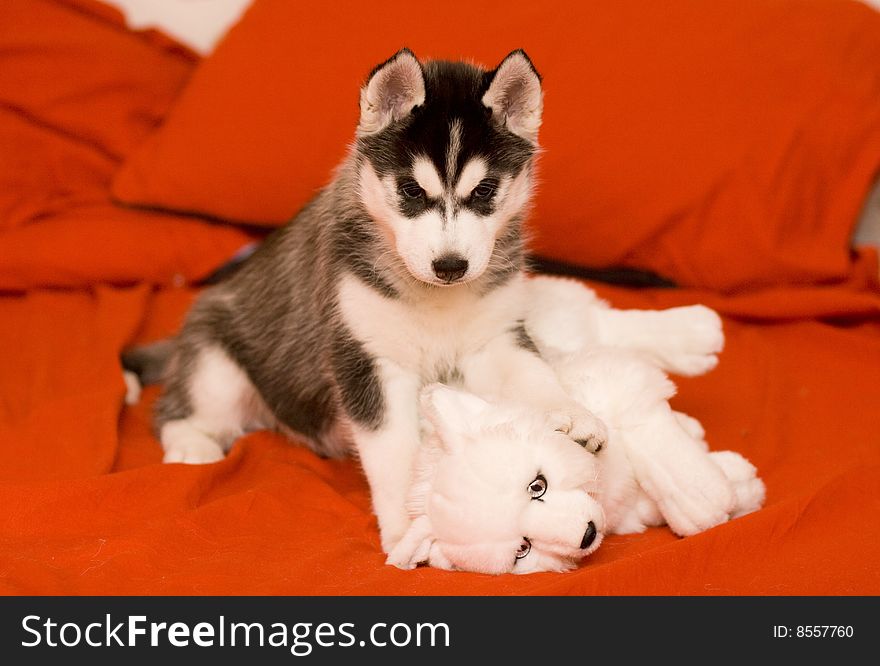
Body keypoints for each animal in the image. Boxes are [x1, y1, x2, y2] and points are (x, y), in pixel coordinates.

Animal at [124, 49, 604, 548]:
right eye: (411, 190)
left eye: (485, 190)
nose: (450, 266)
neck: (434, 299)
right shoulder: (366, 358)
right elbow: (394, 452)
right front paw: (408, 524)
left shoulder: (493, 338)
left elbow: (532, 373)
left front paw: (569, 413)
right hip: (215, 365)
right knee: (177, 411)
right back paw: (192, 446)